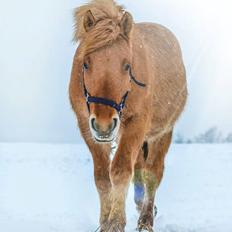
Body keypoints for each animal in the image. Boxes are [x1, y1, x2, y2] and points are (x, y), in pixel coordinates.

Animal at [69, 0, 187, 231]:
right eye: (86, 63)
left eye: (127, 65)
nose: (104, 124)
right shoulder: (87, 127)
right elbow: (102, 177)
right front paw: (105, 221)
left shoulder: (136, 125)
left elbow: (121, 170)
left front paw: (115, 222)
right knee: (140, 170)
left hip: (162, 133)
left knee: (152, 173)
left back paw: (146, 219)